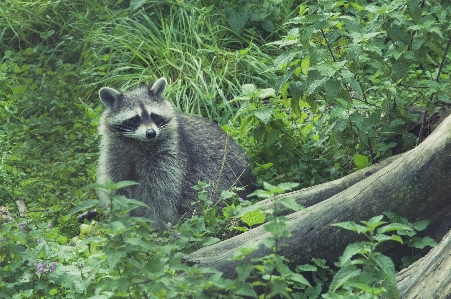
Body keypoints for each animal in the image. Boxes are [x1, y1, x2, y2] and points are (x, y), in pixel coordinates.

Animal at [96, 78, 254, 229]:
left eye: (154, 116)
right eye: (134, 119)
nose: (151, 133)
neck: (139, 143)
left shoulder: (169, 159)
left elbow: (160, 196)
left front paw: (157, 225)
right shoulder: (115, 157)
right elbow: (117, 191)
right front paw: (122, 221)